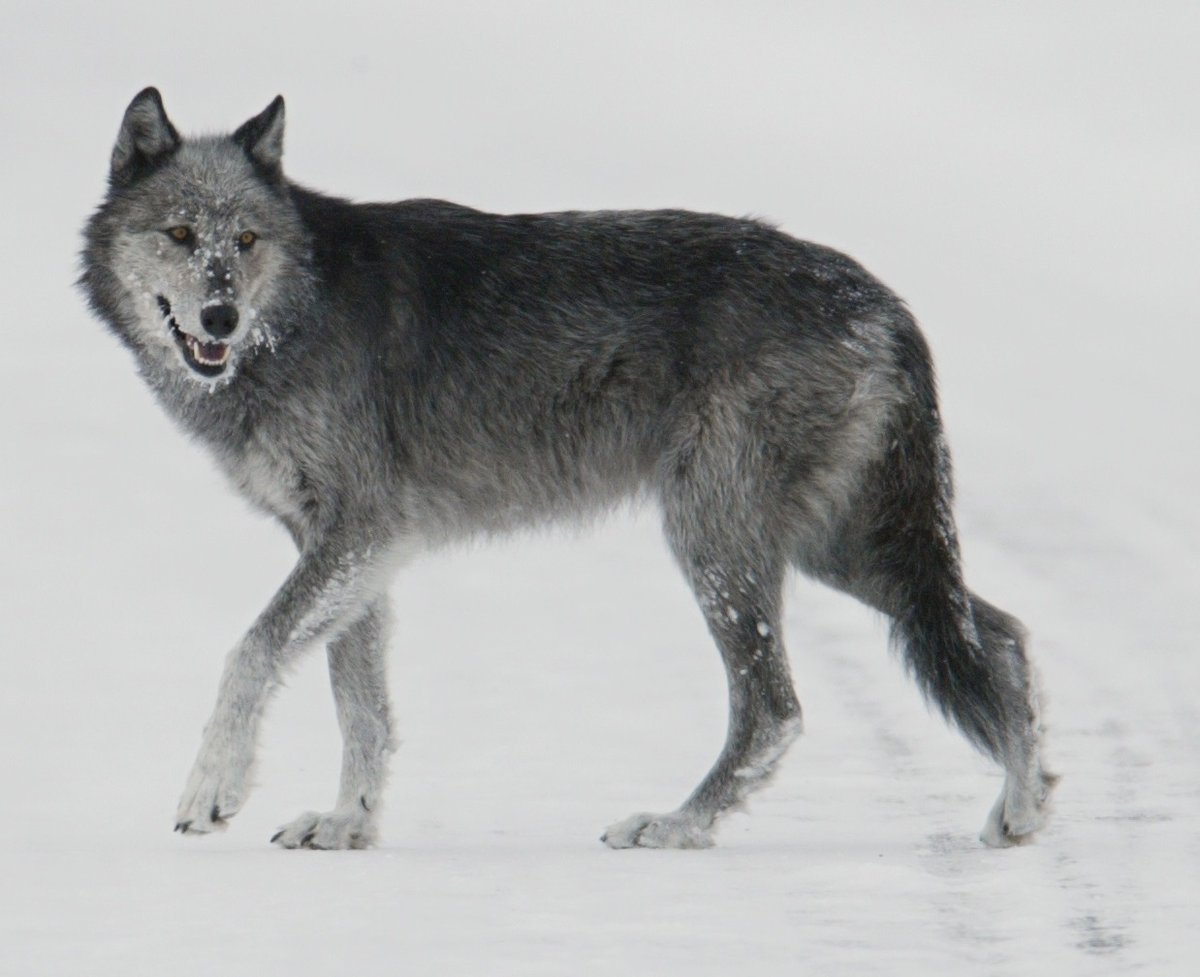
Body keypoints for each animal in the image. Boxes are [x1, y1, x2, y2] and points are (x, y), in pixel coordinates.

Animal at [80, 88, 1054, 851]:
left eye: (245, 240)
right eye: (180, 233)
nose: (220, 316)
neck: (299, 312)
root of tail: (882, 300)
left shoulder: (359, 531)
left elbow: (250, 651)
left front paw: (212, 790)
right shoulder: (351, 548)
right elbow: (360, 702)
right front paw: (348, 823)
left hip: (721, 542)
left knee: (776, 709)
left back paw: (675, 825)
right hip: (839, 549)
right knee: (1002, 633)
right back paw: (1024, 808)